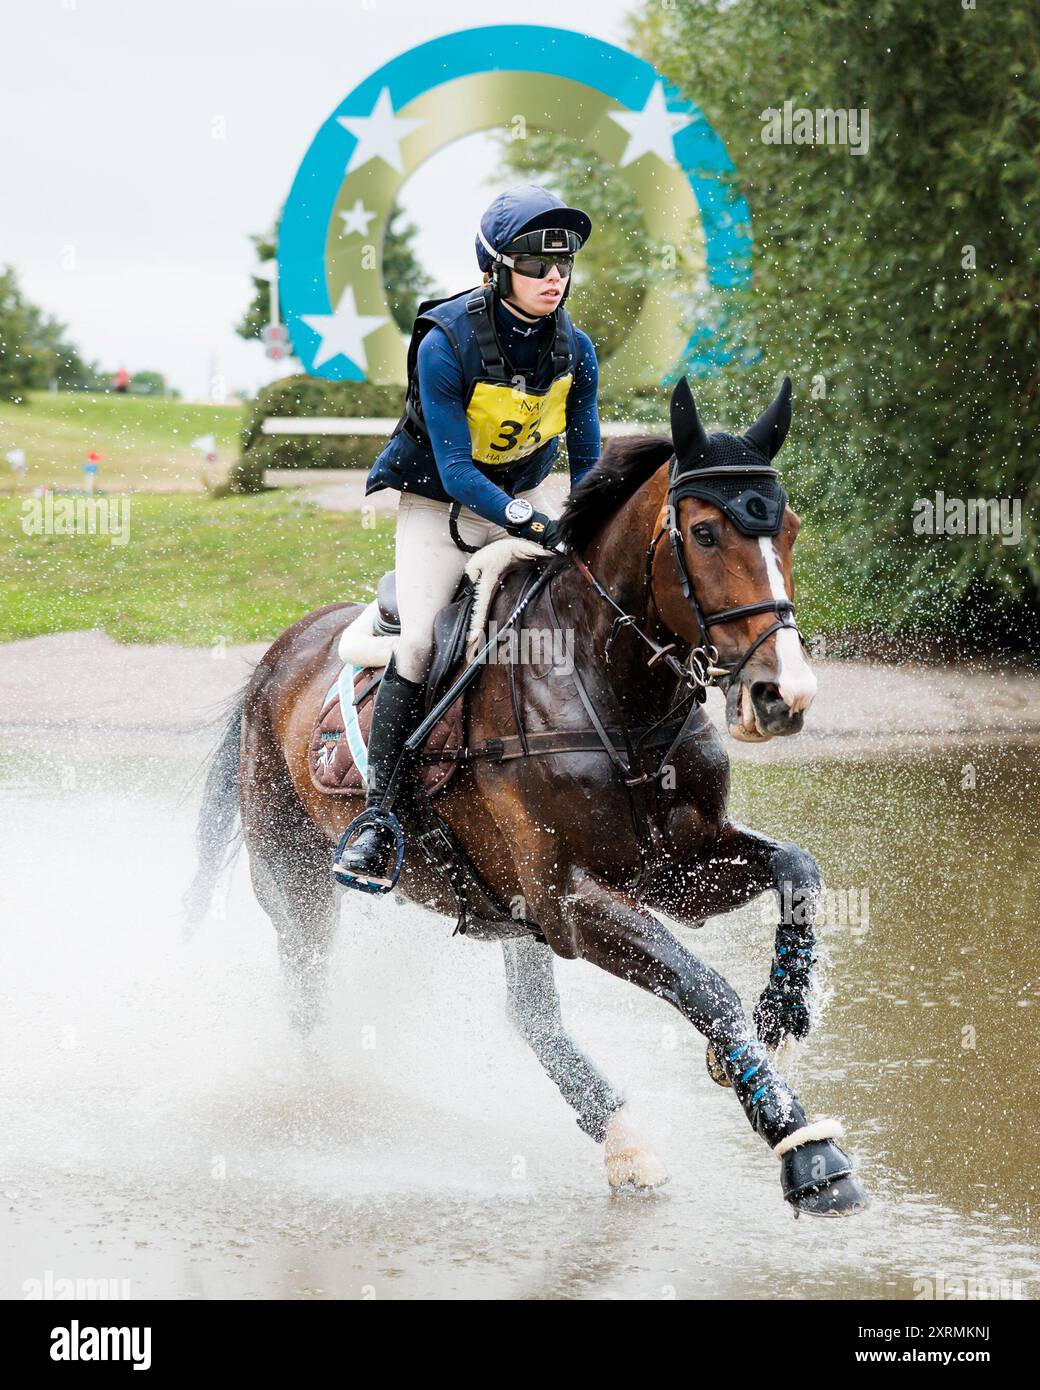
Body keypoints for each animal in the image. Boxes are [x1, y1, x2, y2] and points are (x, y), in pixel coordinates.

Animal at [184, 378, 867, 1217]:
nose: (784, 696)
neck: (617, 698)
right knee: (308, 988)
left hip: (507, 909)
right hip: (296, 873)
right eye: (705, 533)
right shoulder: (571, 900)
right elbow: (703, 986)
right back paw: (324, 1117)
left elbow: (798, 870)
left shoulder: (675, 872)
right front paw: (808, 1153)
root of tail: (276, 656)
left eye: (790, 530)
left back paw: (622, 1141)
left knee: (529, 1014)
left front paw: (782, 1013)